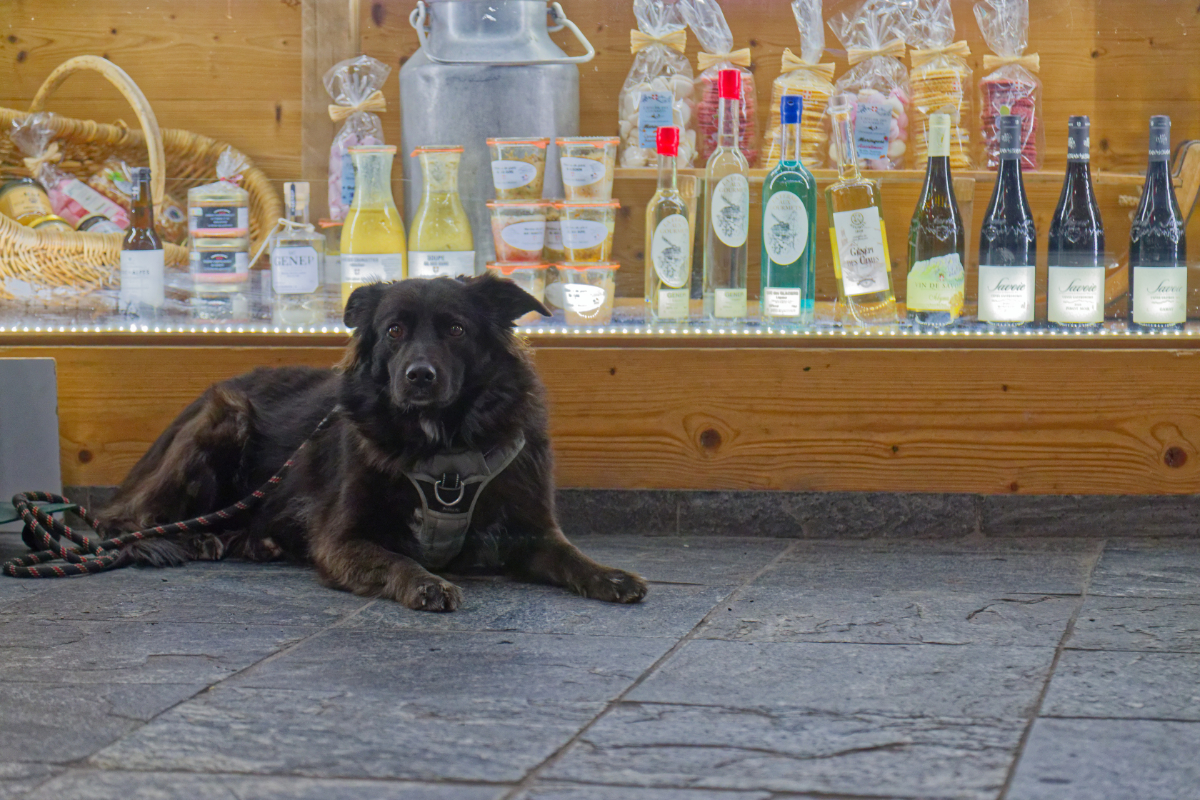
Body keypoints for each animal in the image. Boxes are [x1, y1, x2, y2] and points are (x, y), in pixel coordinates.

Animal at [98, 275, 648, 612]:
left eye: (456, 329)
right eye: (394, 330)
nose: (418, 376)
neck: (442, 448)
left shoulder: (532, 530)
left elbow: (571, 555)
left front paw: (611, 575)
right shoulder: (342, 540)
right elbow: (396, 559)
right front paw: (426, 582)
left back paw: (253, 541)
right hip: (225, 414)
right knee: (124, 520)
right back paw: (187, 539)